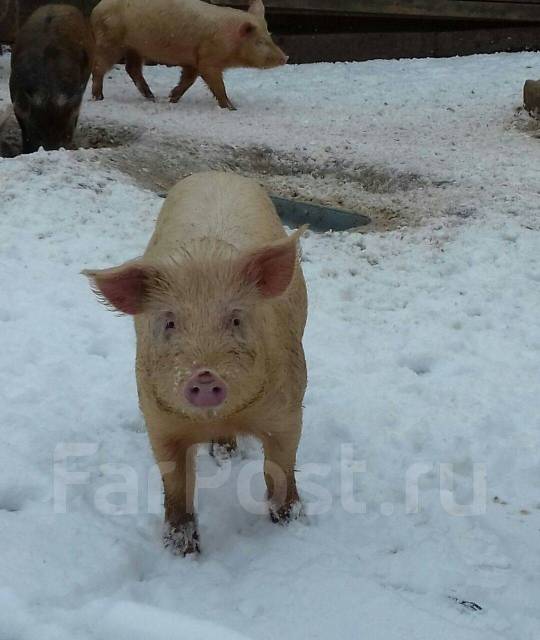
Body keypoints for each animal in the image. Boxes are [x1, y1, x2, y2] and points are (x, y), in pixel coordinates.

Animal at [82, 171, 306, 556]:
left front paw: (292, 523)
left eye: (236, 319)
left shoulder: (289, 406)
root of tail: (217, 173)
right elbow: (175, 484)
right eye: (170, 323)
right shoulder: (158, 419)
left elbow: (279, 467)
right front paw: (182, 552)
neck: (221, 416)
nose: (203, 376)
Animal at [90, 0, 288, 109]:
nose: (285, 58)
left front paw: (171, 98)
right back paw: (98, 98)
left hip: (135, 47)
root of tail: (97, 8)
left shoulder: (194, 60)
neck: (229, 41)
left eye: (269, 35)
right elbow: (217, 85)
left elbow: (188, 80)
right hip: (110, 41)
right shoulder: (208, 60)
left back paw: (152, 98)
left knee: (132, 69)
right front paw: (232, 108)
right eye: (259, 42)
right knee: (99, 67)